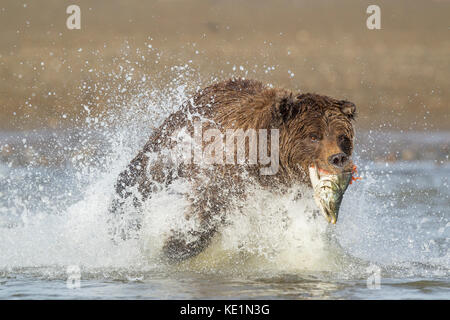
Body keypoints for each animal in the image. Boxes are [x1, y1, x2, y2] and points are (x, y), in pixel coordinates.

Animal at [108, 78, 356, 262]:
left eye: (342, 137)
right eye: (314, 136)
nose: (338, 158)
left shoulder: (286, 194)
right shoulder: (229, 172)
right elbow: (207, 206)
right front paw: (175, 246)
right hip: (174, 141)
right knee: (143, 175)